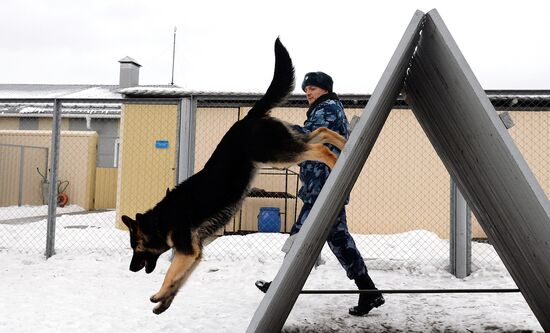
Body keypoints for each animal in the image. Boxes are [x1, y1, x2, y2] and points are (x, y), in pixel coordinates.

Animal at [122, 37, 348, 312]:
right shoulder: (195, 253)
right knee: (323, 131)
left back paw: (336, 159)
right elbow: (179, 279)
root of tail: (249, 116)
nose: (131, 269)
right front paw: (163, 301)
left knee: (319, 148)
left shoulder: (187, 250)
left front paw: (161, 293)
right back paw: (344, 142)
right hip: (285, 146)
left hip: (277, 154)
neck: (162, 219)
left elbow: (170, 273)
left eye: (136, 247)